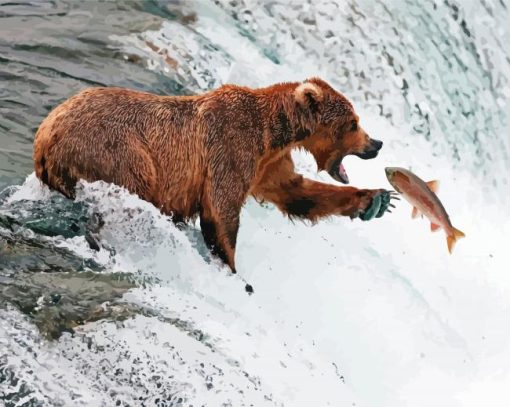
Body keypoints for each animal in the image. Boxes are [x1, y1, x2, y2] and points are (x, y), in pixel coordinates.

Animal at [34, 76, 394, 274]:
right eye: (353, 123)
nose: (376, 144)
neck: (274, 133)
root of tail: (46, 134)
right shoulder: (230, 148)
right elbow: (221, 212)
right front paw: (232, 268)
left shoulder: (269, 165)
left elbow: (296, 193)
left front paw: (376, 200)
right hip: (118, 153)